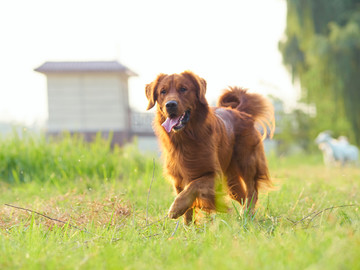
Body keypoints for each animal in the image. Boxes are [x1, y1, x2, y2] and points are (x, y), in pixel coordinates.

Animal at [145, 70, 274, 224]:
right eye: (162, 91)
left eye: (183, 89)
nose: (170, 105)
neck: (186, 139)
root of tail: (240, 112)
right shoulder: (177, 178)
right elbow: (187, 204)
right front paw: (187, 226)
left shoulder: (214, 175)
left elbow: (193, 185)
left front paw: (176, 208)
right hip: (231, 181)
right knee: (242, 195)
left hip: (248, 162)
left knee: (252, 191)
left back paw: (246, 214)